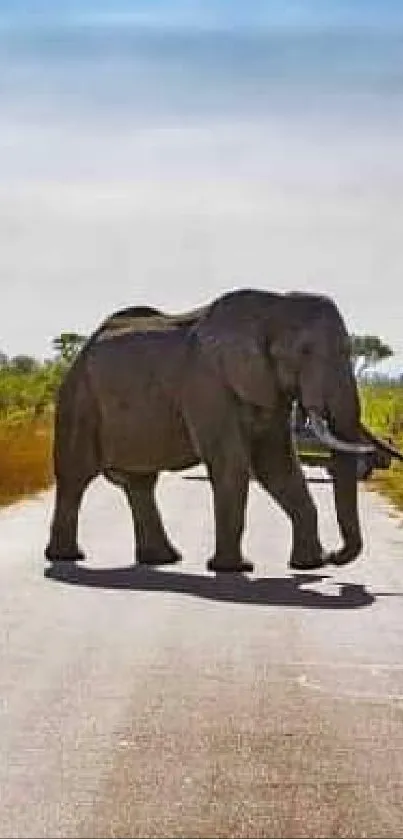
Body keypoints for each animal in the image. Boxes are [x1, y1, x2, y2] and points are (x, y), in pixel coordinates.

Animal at [45, 288, 403, 572]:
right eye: (304, 352)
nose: (336, 557)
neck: (274, 305)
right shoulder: (208, 386)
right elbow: (232, 464)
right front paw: (235, 569)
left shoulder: (269, 389)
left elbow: (279, 466)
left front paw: (309, 565)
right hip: (79, 400)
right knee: (75, 477)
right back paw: (68, 557)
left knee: (140, 483)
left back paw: (162, 560)